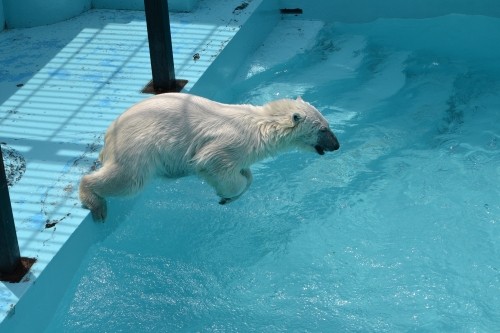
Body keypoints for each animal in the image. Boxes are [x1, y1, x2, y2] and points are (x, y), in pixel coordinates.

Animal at [79, 92, 340, 219]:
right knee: (128, 180)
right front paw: (226, 194)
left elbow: (246, 174)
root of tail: (110, 134)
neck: (260, 126)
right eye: (323, 129)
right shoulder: (229, 142)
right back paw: (95, 202)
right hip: (138, 146)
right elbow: (213, 162)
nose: (337, 145)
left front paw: (232, 192)